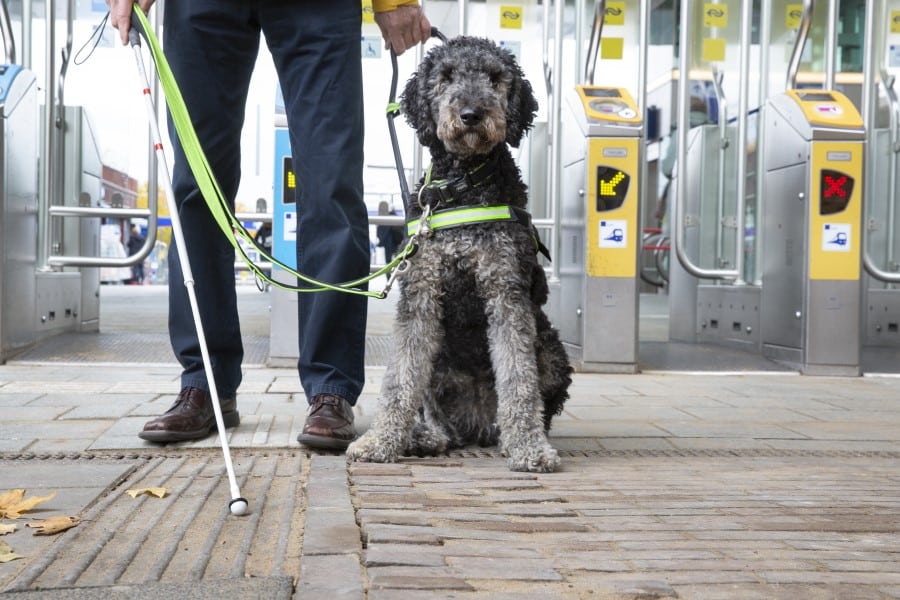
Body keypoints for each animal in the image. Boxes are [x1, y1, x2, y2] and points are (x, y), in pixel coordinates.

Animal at [344, 36, 568, 474]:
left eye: (496, 77)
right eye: (446, 76)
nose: (471, 115)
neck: (464, 186)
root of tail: (476, 424)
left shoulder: (506, 292)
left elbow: (519, 379)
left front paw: (529, 448)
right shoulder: (421, 296)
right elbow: (401, 377)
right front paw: (381, 441)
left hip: (552, 350)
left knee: (535, 400)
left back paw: (511, 437)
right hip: (441, 366)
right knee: (436, 415)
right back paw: (426, 437)